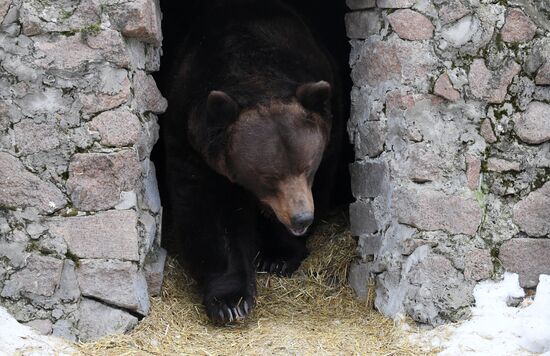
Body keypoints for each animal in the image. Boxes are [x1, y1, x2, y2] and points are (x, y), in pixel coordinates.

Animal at [158, 0, 344, 322]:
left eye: (307, 167)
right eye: (268, 177)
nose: (301, 218)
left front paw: (278, 257)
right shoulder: (190, 136)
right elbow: (211, 211)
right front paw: (230, 301)